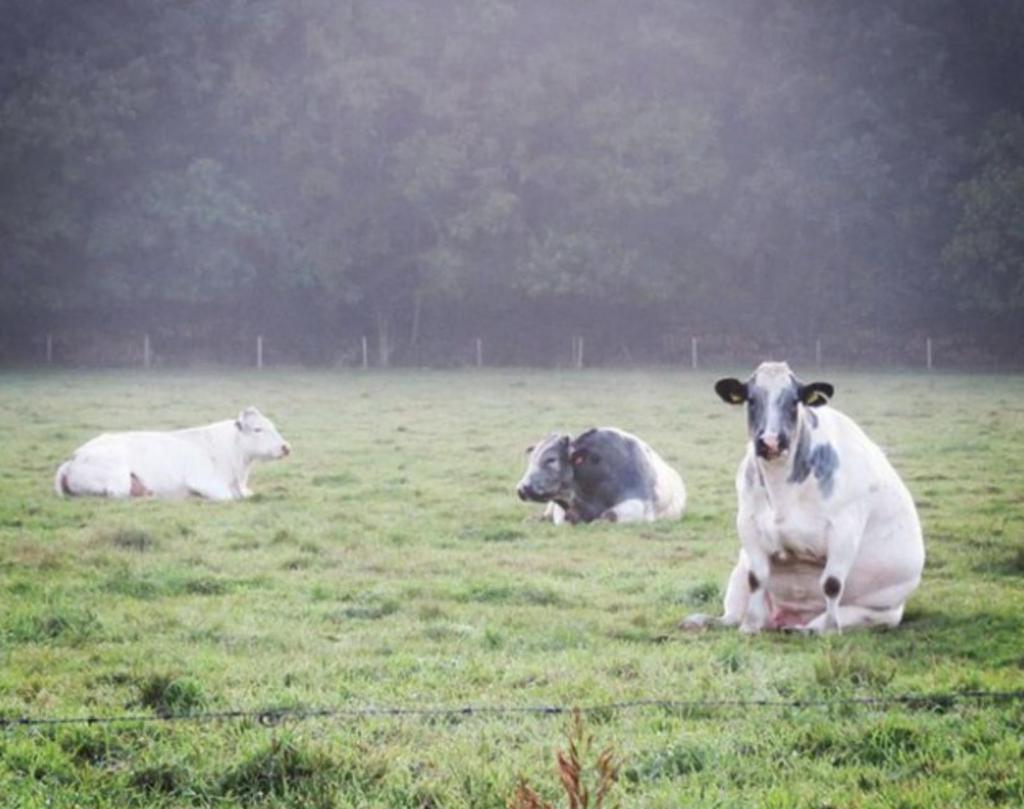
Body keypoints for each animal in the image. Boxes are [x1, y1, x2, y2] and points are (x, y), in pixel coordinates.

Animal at [55, 405, 290, 499]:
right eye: (258, 429)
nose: (286, 447)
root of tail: (73, 457)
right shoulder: (202, 481)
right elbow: (227, 497)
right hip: (118, 480)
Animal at [684, 360, 925, 634]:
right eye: (752, 400)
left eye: (794, 401)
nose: (771, 442)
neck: (782, 489)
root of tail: (789, 617)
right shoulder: (747, 523)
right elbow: (757, 577)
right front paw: (749, 627)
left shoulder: (845, 527)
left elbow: (831, 583)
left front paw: (830, 630)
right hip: (738, 576)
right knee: (733, 613)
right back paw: (704, 620)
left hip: (877, 614)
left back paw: (808, 629)